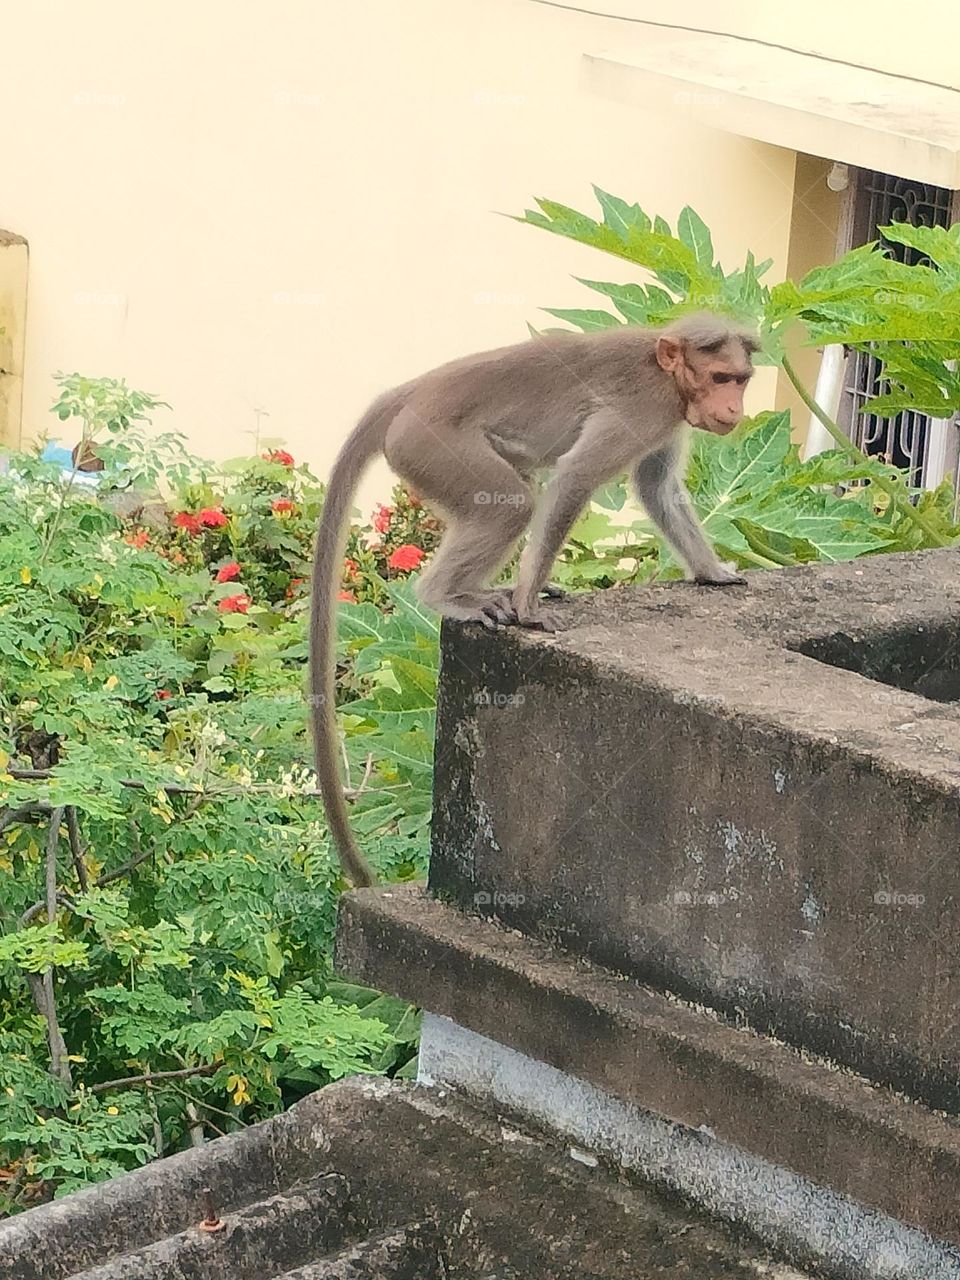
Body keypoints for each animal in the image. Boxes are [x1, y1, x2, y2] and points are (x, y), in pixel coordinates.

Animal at [310, 312, 759, 887]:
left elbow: (657, 488)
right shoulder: (646, 406)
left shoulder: (666, 417)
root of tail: (407, 392)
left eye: (740, 379)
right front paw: (528, 607)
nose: (735, 408)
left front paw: (712, 571)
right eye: (721, 377)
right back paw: (449, 595)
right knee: (510, 502)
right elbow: (575, 477)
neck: (667, 372)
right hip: (431, 444)